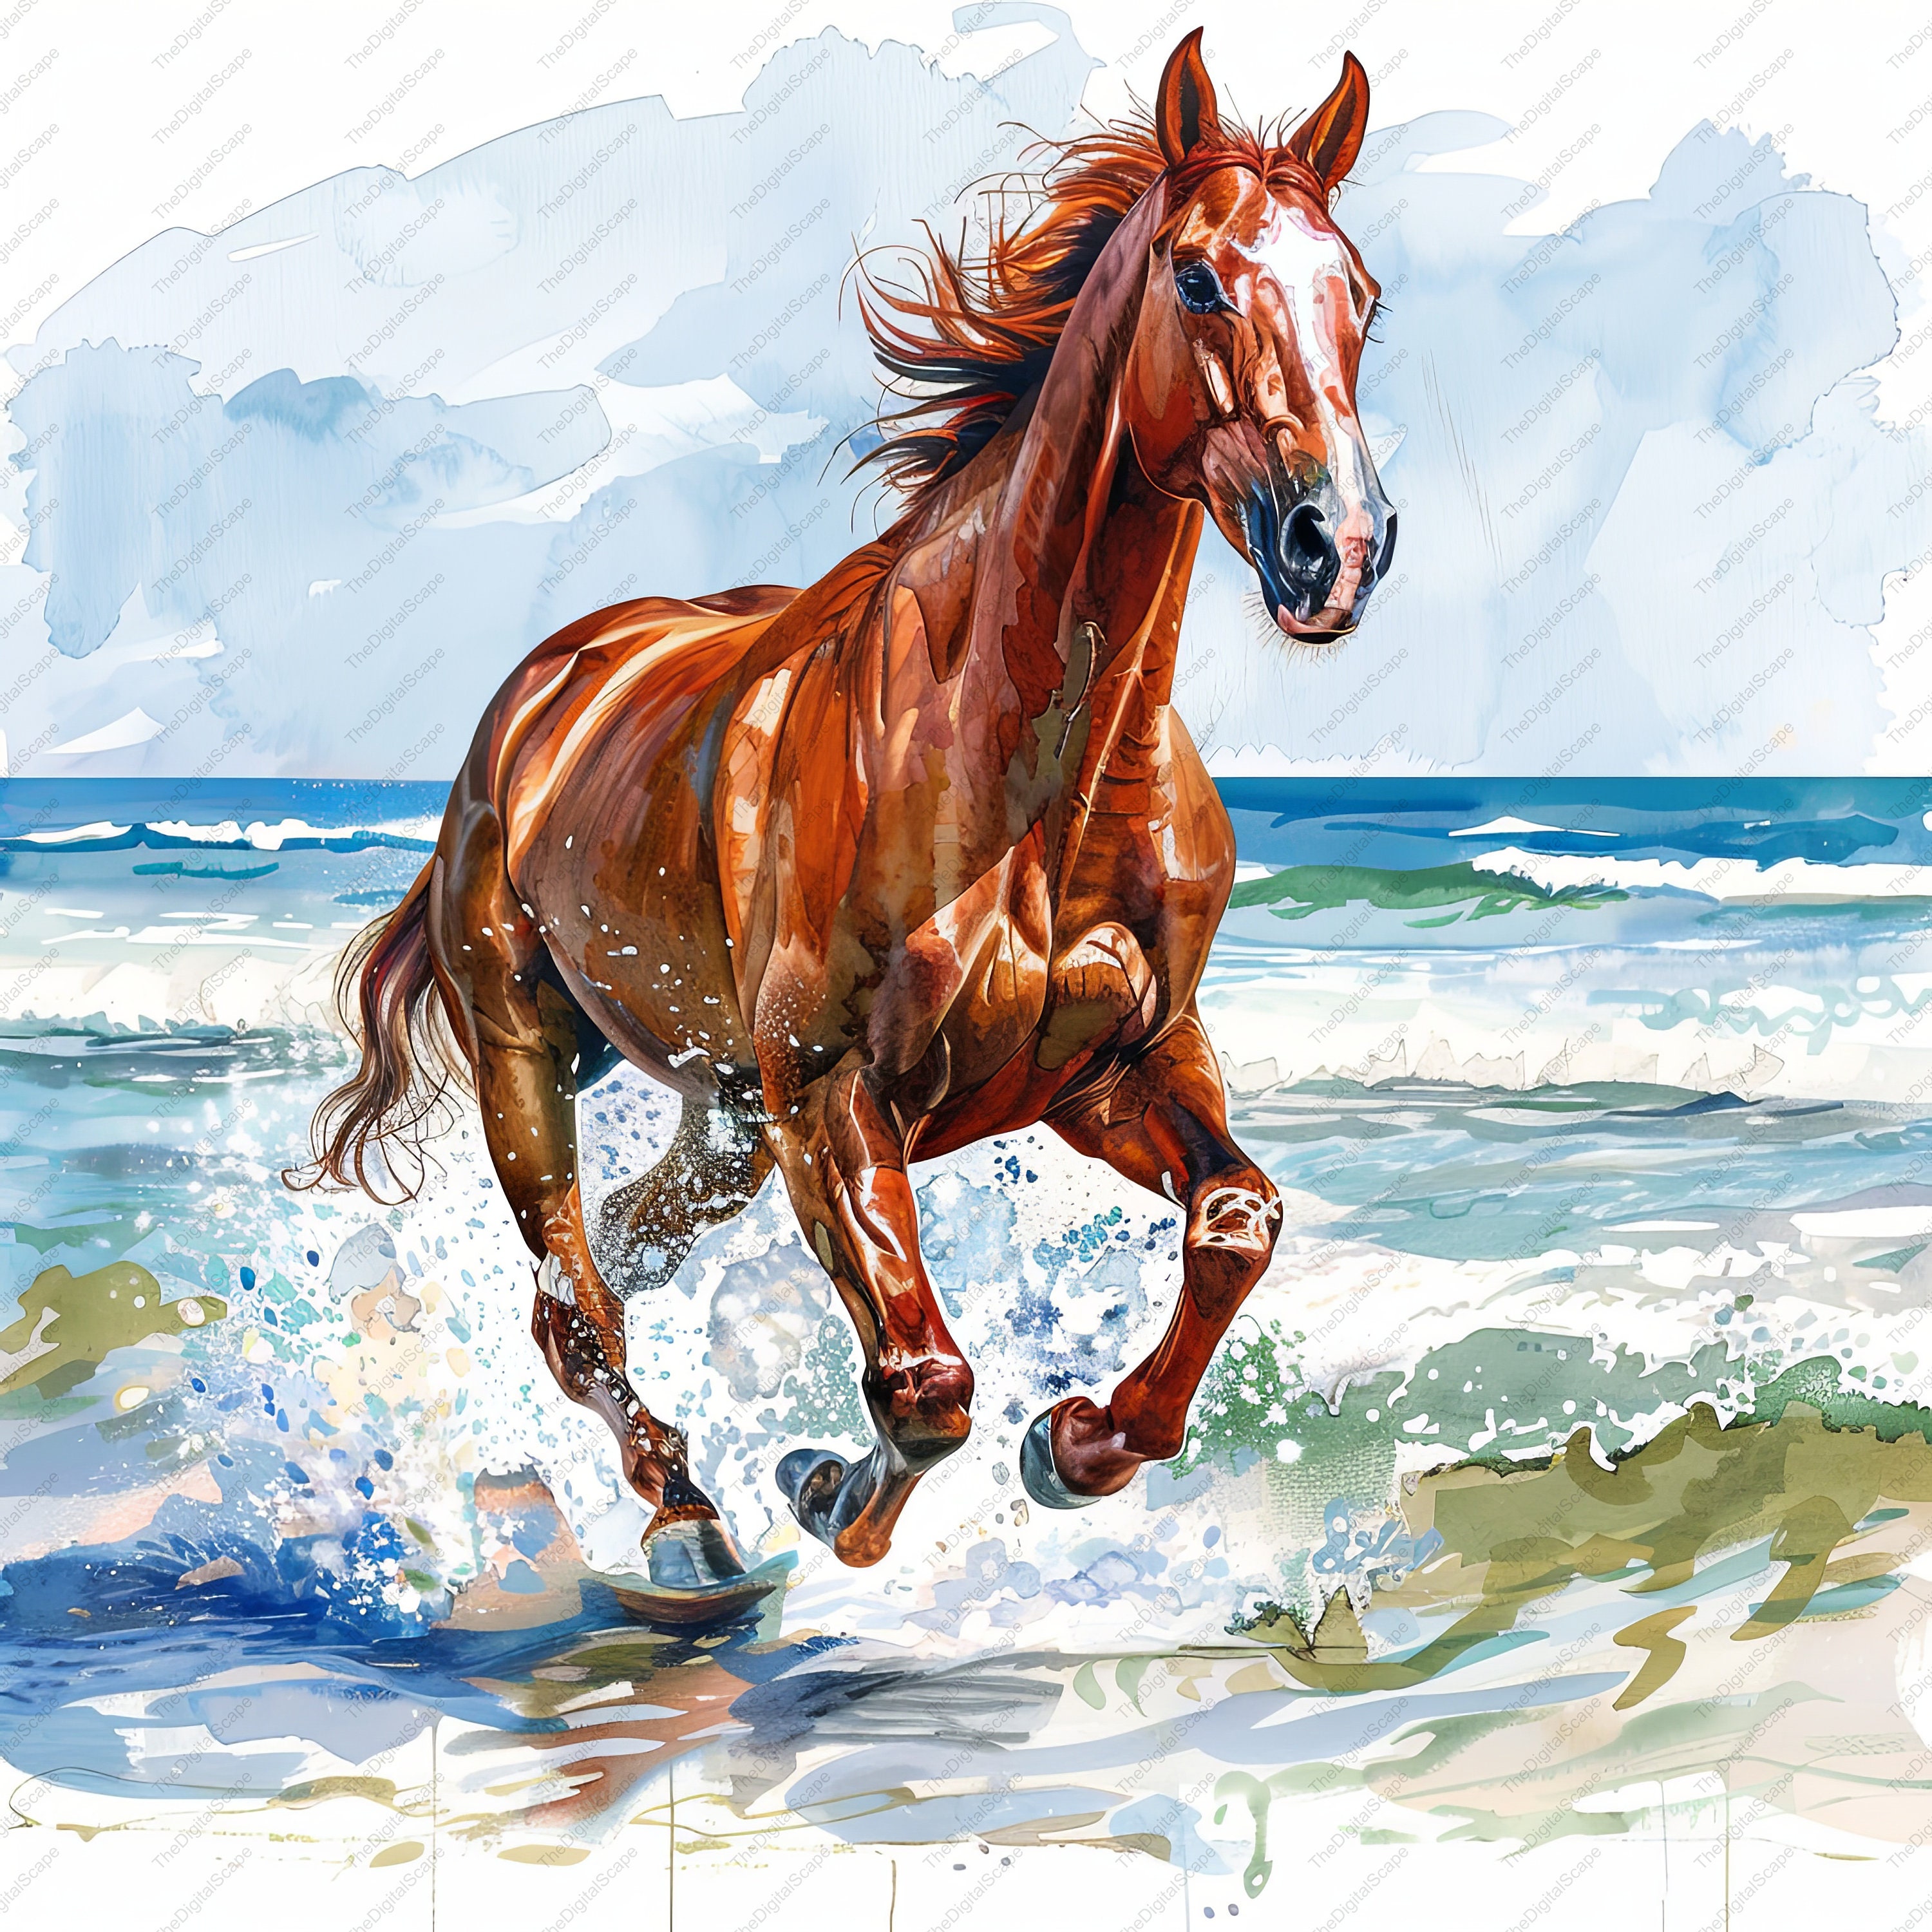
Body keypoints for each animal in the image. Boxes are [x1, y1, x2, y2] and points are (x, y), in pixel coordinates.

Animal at [296, 31, 1397, 1619]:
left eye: (1360, 294)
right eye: (1197, 279)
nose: (1337, 547)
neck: (1033, 789)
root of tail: (543, 689)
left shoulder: (1116, 1070)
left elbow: (1237, 1224)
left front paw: (1081, 1445)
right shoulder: (834, 1096)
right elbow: (924, 1383)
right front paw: (827, 1492)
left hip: (724, 1116)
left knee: (617, 1259)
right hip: (529, 1055)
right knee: (578, 1302)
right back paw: (686, 1521)